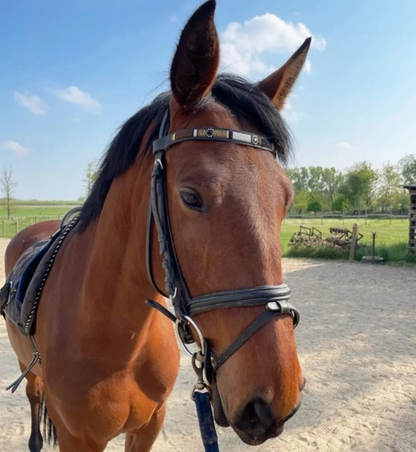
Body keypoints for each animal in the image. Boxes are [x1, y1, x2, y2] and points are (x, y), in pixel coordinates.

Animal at [2, 1, 308, 450]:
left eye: (286, 199)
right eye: (191, 197)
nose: (274, 400)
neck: (117, 340)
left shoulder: (149, 424)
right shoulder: (79, 437)